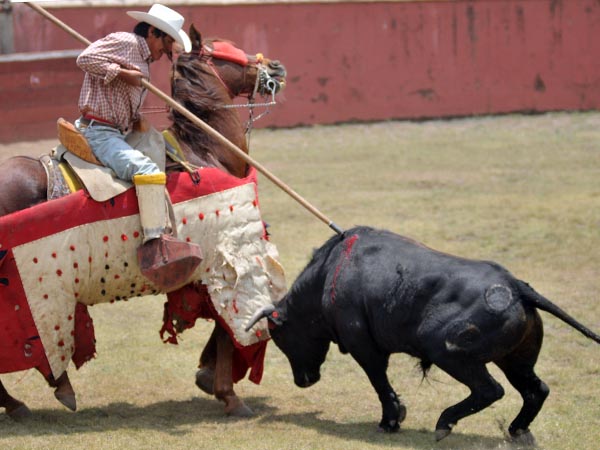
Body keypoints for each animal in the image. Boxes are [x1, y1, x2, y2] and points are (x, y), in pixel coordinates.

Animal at [0, 23, 288, 418]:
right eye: (225, 49)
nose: (275, 66)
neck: (205, 150)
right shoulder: (223, 263)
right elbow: (232, 325)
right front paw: (228, 394)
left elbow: (223, 324)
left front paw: (208, 375)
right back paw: (35, 396)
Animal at [245, 225, 600, 442]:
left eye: (281, 339)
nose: (302, 381)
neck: (328, 274)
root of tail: (515, 286)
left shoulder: (364, 345)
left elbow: (378, 380)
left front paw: (390, 420)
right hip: (516, 359)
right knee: (535, 390)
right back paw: (517, 430)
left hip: (447, 350)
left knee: (490, 389)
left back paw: (444, 424)